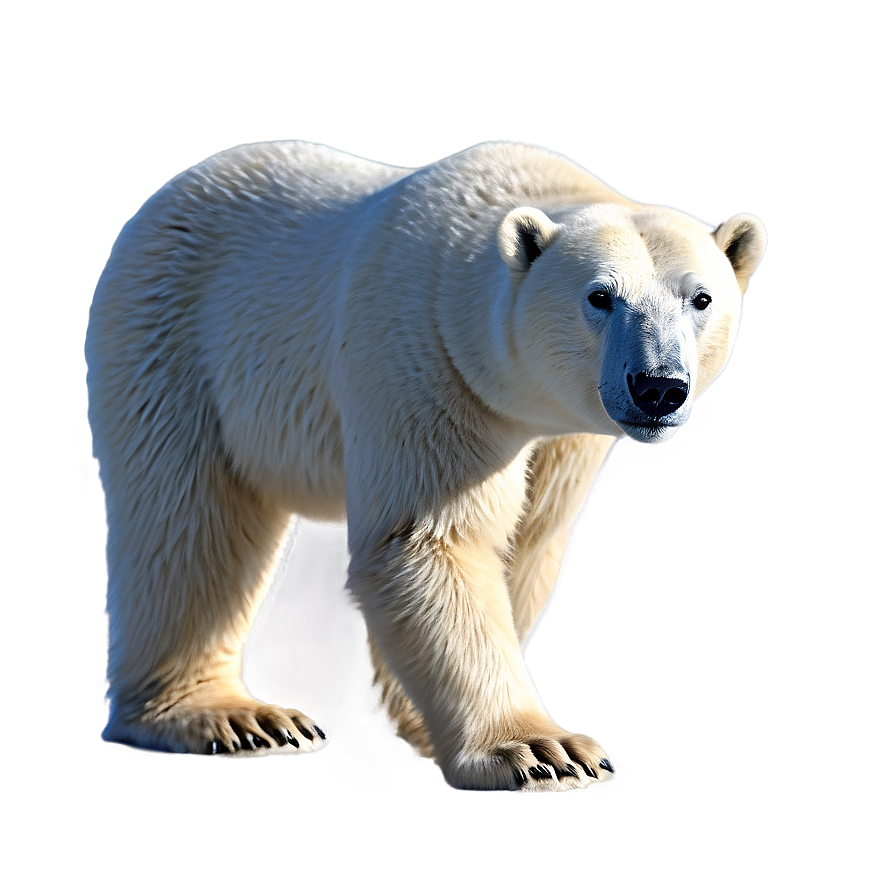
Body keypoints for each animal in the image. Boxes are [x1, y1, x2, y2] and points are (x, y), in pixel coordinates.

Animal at [86, 140, 766, 792]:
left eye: (701, 298)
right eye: (599, 296)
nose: (657, 388)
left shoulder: (563, 436)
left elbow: (524, 542)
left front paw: (419, 719)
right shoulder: (424, 362)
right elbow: (431, 541)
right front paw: (540, 750)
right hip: (176, 340)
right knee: (193, 522)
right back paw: (226, 715)